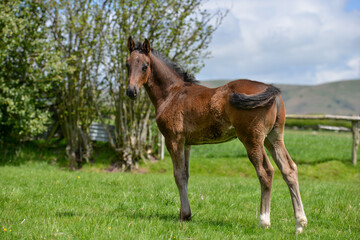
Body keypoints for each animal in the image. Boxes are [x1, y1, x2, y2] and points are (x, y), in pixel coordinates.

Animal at [126, 37, 306, 234]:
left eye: (145, 66)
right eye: (127, 64)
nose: (131, 91)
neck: (172, 94)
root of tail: (271, 91)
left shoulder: (173, 140)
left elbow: (178, 175)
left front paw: (184, 216)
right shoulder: (186, 143)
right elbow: (185, 175)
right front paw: (186, 215)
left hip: (252, 139)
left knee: (266, 172)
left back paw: (264, 221)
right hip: (273, 138)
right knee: (289, 169)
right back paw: (300, 224)